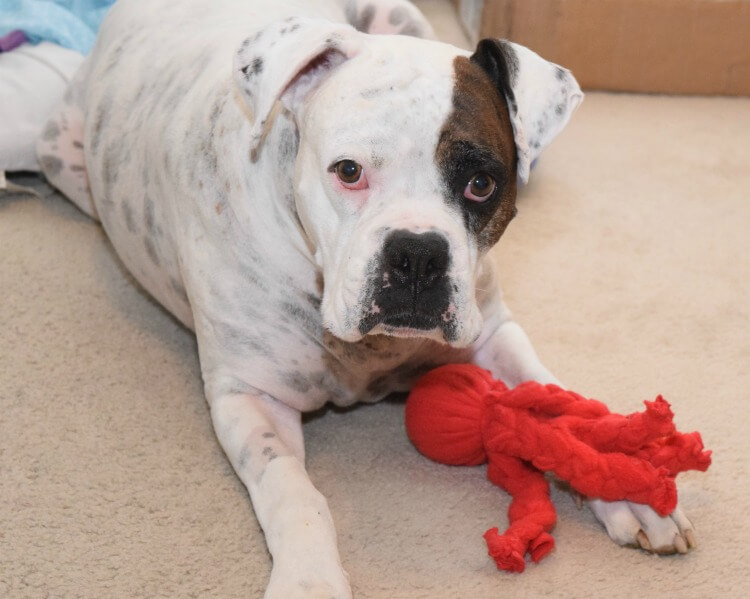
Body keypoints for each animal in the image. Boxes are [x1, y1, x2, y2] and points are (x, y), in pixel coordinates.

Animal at [38, 0, 700, 596]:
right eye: (348, 170)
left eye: (480, 184)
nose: (418, 255)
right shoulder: (248, 396)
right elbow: (294, 494)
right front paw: (308, 580)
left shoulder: (494, 333)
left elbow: (560, 407)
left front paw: (628, 491)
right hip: (57, 151)